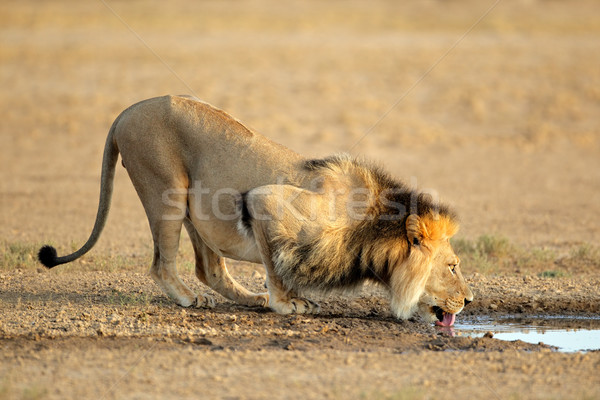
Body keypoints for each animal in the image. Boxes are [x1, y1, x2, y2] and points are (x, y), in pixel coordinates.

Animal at [39, 95, 474, 326]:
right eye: (452, 267)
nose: (470, 302)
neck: (369, 230)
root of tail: (125, 111)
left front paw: (289, 298)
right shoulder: (265, 202)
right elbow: (276, 267)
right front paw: (287, 303)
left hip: (197, 208)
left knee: (210, 269)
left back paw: (248, 299)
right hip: (165, 189)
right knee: (162, 264)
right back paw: (190, 298)